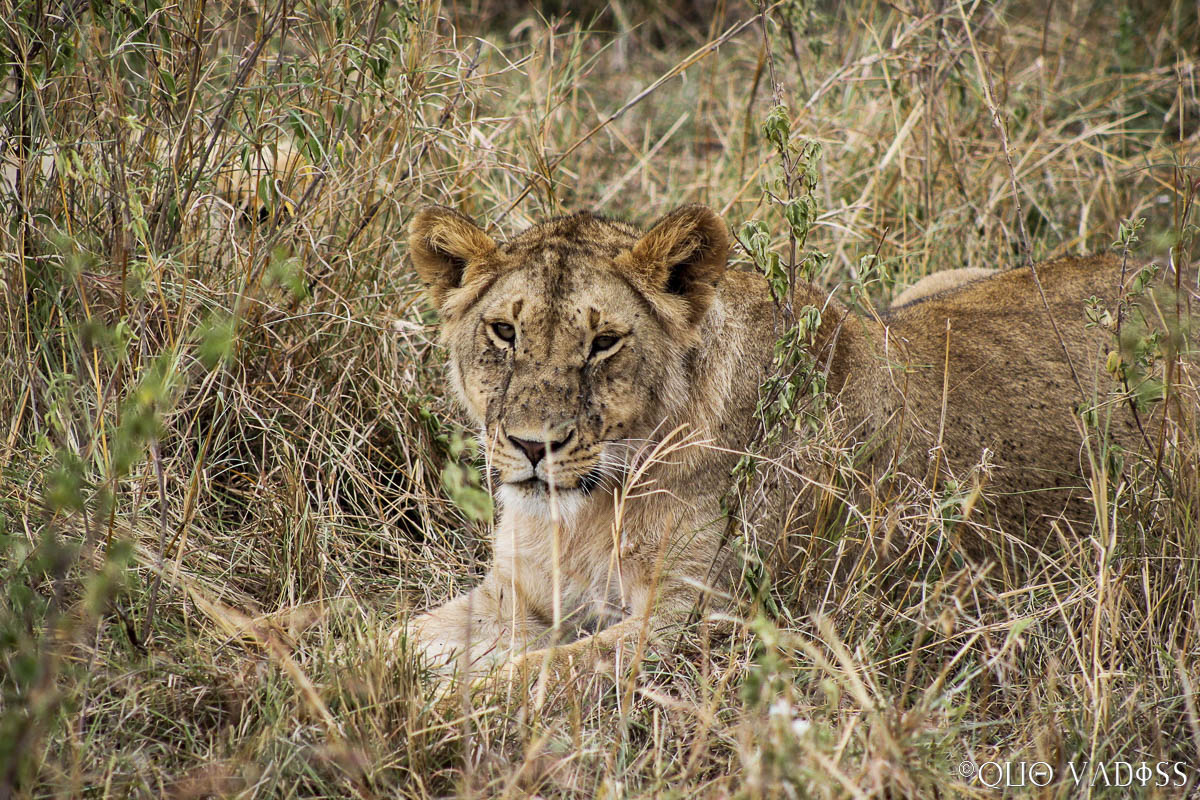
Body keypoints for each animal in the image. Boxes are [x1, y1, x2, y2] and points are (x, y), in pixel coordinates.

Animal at [404, 203, 1191, 680]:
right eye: (504, 331)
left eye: (604, 343)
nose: (532, 445)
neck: (590, 511)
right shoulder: (515, 596)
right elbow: (401, 636)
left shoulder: (701, 627)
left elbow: (539, 674)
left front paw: (447, 700)